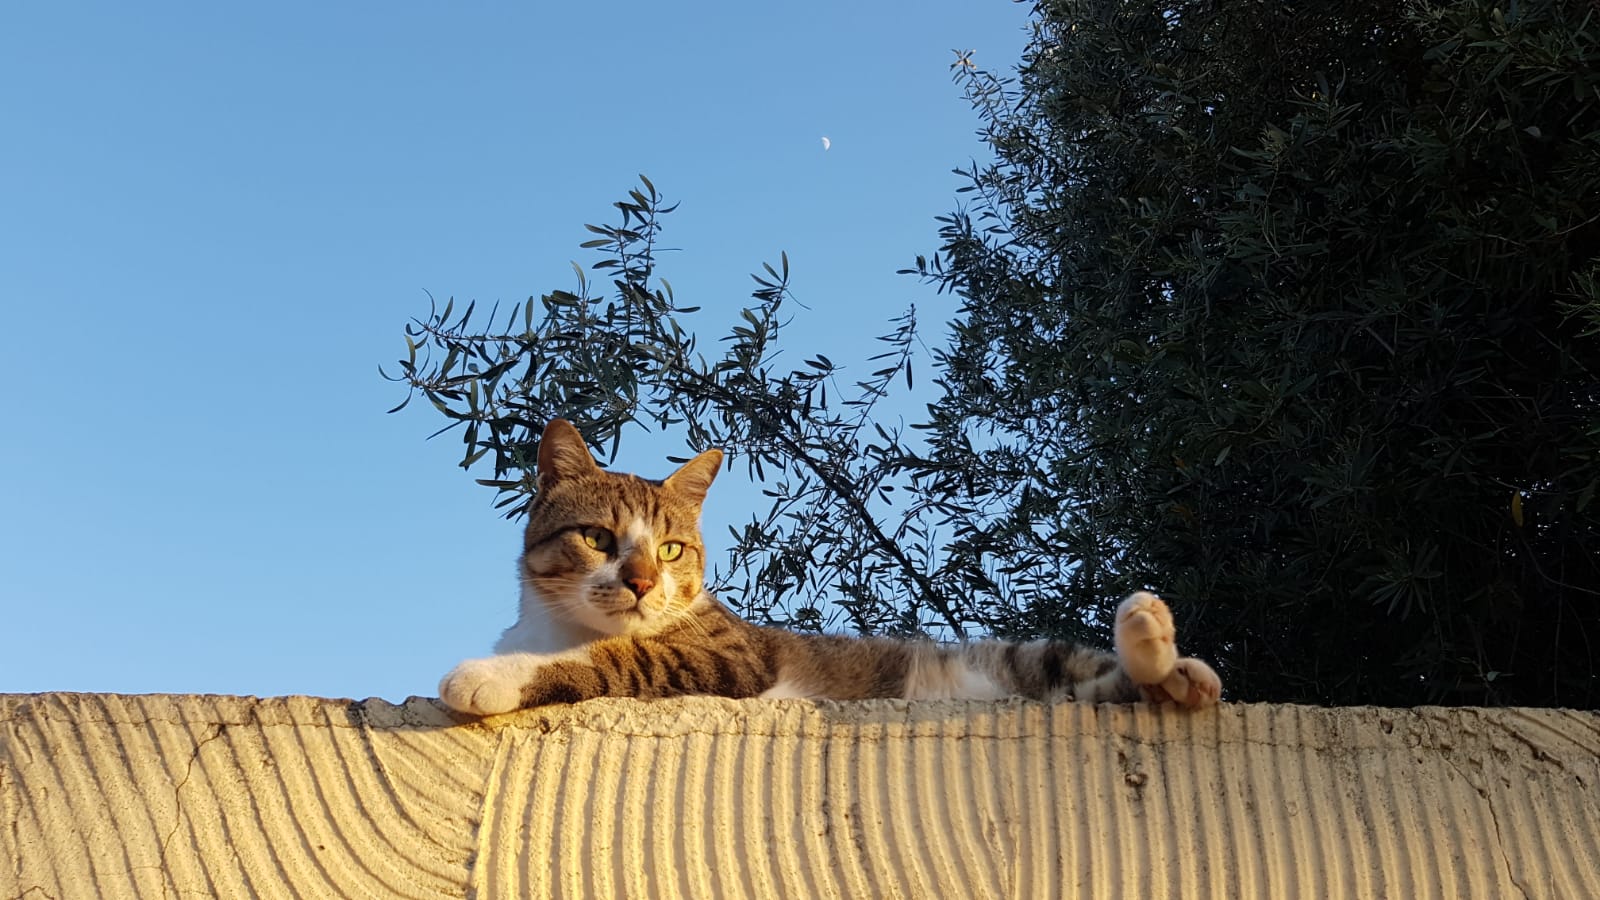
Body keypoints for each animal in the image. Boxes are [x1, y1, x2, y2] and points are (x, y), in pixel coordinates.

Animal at [438, 419, 1223, 716]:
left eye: (670, 550)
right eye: (599, 539)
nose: (641, 582)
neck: (564, 625)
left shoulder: (726, 659)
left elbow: (616, 661)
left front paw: (487, 677)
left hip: (1027, 657)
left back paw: (1164, 649)